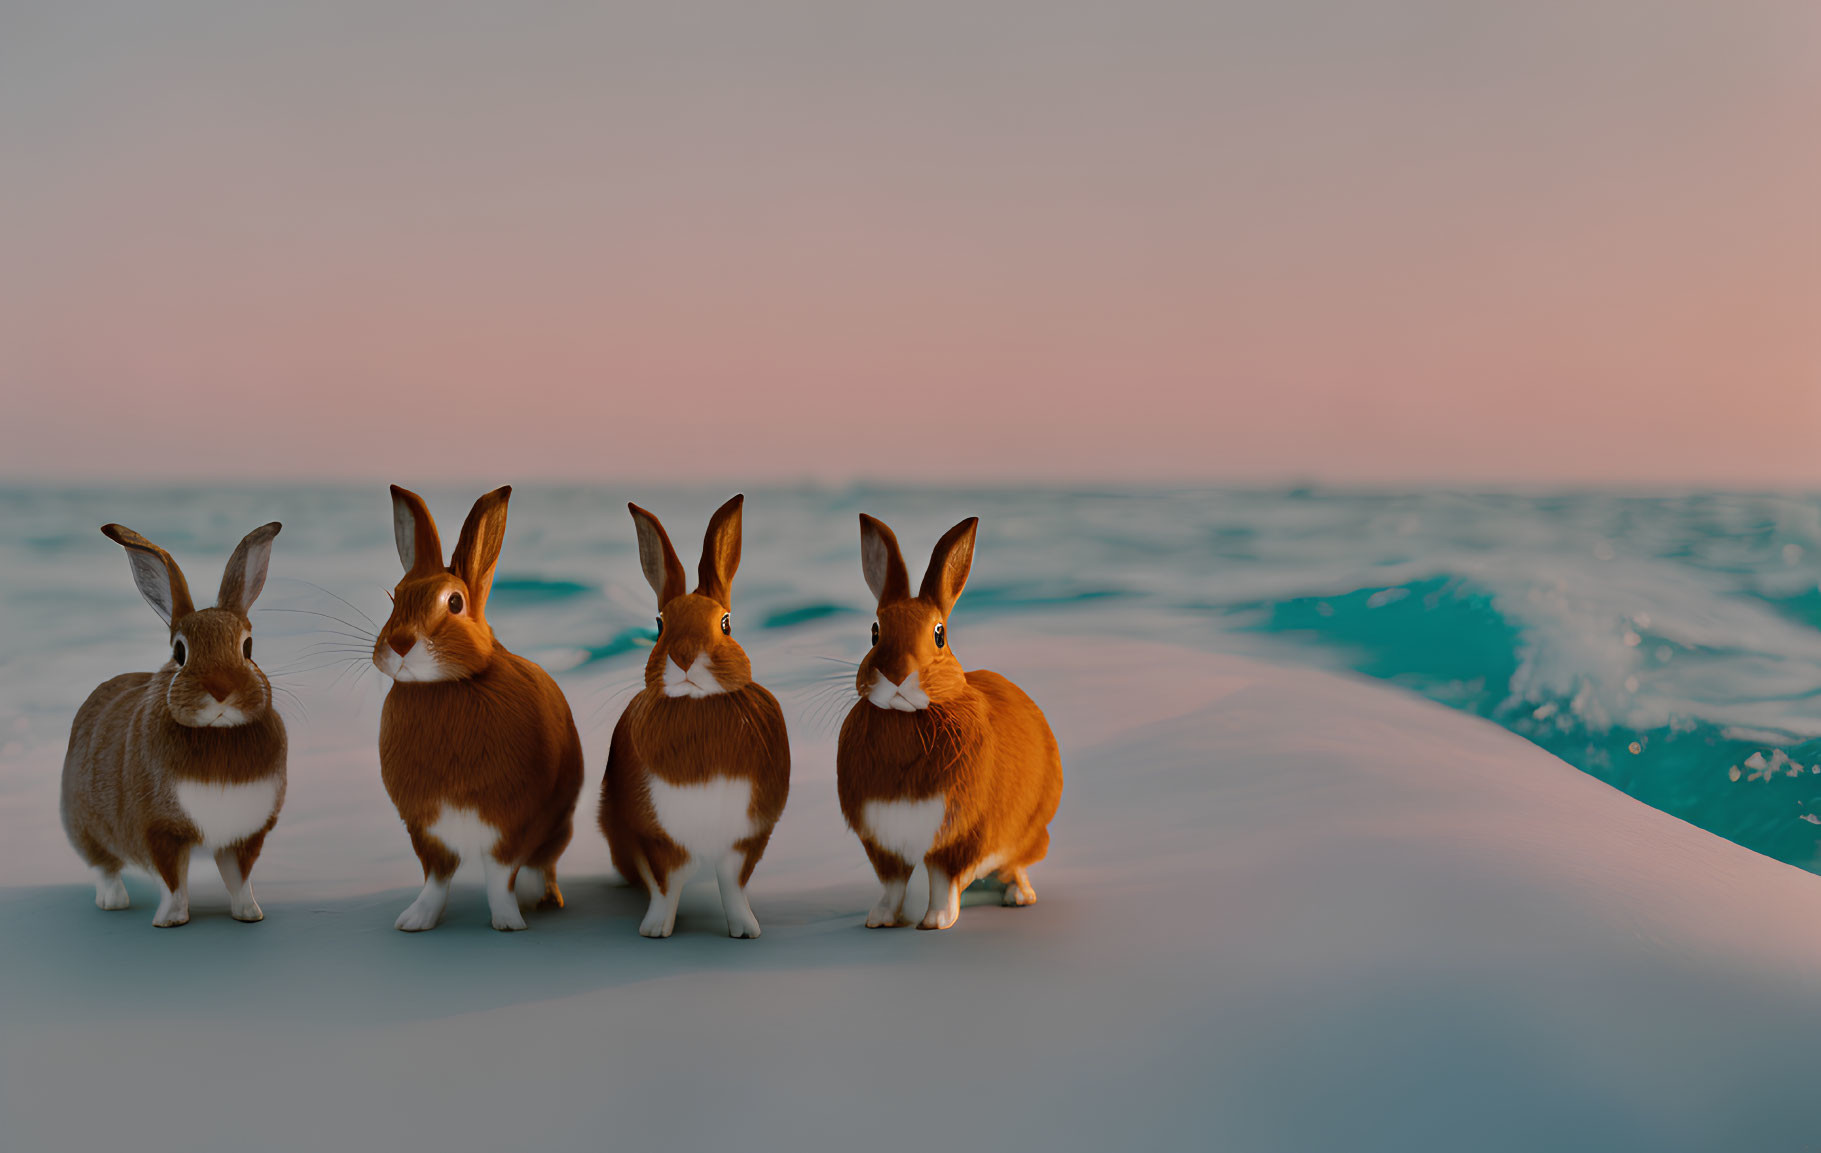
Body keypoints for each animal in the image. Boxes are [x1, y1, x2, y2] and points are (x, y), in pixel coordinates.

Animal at [63, 520, 287, 925]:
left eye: (247, 648)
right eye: (179, 651)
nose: (221, 690)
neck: (217, 733)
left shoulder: (245, 833)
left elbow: (239, 876)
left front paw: (249, 913)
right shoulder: (159, 831)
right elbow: (172, 881)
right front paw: (170, 920)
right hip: (84, 824)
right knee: (103, 865)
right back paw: (113, 901)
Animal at [375, 480, 586, 932]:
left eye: (454, 603)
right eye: (395, 598)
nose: (399, 644)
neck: (446, 686)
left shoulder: (510, 825)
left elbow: (499, 878)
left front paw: (508, 922)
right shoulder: (427, 831)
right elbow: (436, 880)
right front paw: (415, 920)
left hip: (556, 829)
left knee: (540, 865)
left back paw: (543, 899)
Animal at [604, 495, 790, 932]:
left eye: (726, 623)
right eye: (659, 625)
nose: (685, 656)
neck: (697, 706)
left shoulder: (747, 836)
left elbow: (734, 885)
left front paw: (746, 930)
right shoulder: (654, 836)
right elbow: (664, 886)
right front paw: (655, 930)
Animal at [834, 517, 1063, 932]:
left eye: (939, 634)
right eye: (875, 632)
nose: (897, 676)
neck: (906, 718)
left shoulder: (957, 837)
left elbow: (942, 880)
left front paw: (936, 920)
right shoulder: (884, 842)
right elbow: (892, 885)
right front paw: (879, 918)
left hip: (1028, 834)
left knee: (1016, 866)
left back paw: (1018, 896)